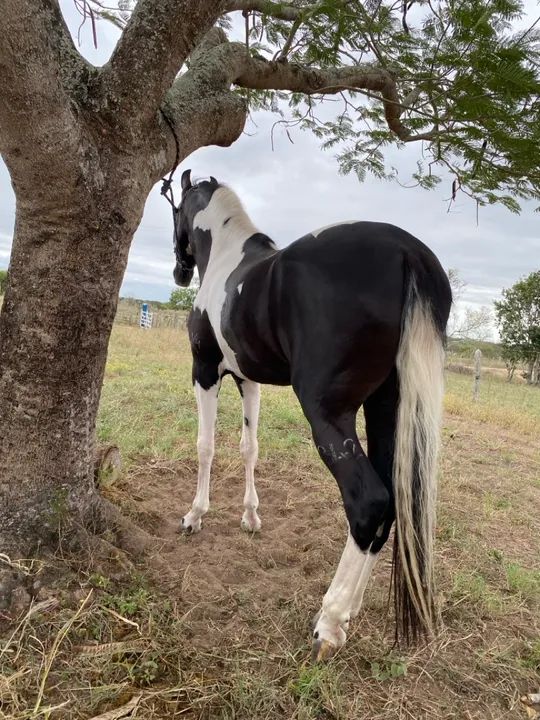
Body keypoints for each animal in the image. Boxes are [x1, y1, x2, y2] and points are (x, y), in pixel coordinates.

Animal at [172, 169, 452, 661]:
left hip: (328, 414)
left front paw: (196, 515)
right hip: (387, 408)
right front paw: (250, 517)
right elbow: (249, 447)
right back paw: (350, 609)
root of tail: (407, 251)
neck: (227, 259)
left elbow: (206, 445)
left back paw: (330, 621)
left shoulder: (205, 371)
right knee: (389, 504)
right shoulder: (248, 380)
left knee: (369, 502)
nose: (179, 270)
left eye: (175, 210)